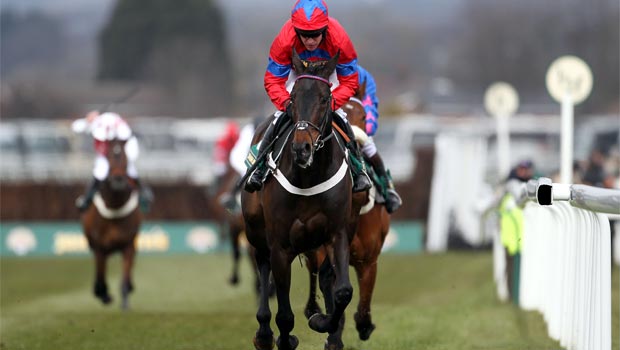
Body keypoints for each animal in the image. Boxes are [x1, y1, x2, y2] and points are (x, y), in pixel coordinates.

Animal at [80, 137, 142, 308]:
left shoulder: (128, 245)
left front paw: (125, 301)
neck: (115, 207)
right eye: (108, 157)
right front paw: (103, 293)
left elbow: (125, 277)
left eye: (126, 158)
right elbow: (101, 275)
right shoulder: (99, 247)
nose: (118, 180)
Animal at [240, 50, 360, 350]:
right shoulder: (280, 245)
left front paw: (323, 322)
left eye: (325, 98)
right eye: (293, 98)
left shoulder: (337, 233)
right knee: (262, 268)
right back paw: (264, 333)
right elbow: (284, 314)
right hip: (257, 233)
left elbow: (343, 291)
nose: (301, 148)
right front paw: (284, 337)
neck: (308, 177)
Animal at [302, 80, 390, 344]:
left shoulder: (369, 261)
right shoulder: (325, 251)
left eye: (363, 115)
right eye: (339, 115)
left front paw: (363, 325)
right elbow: (330, 290)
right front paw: (332, 333)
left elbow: (363, 304)